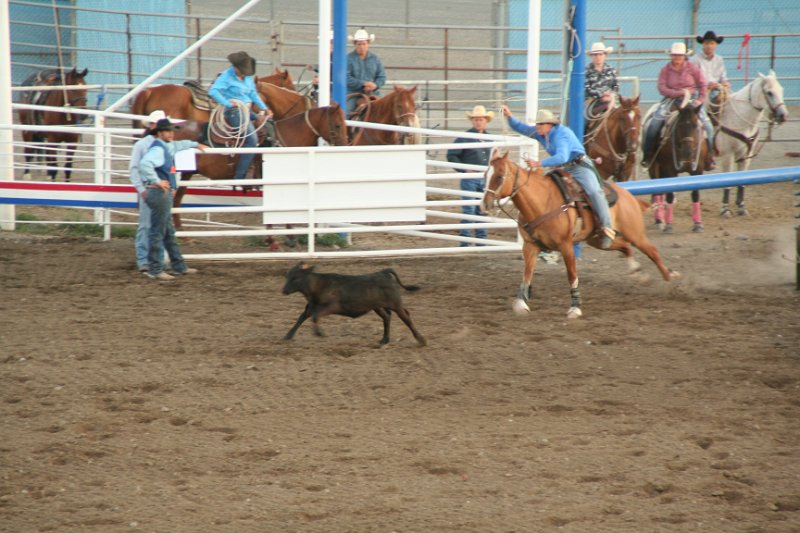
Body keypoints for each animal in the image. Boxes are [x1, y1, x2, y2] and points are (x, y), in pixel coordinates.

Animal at [281, 263, 427, 346]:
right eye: (287, 276)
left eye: (296, 277)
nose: (284, 290)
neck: (318, 286)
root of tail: (383, 272)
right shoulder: (310, 307)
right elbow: (301, 318)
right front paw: (288, 335)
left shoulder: (331, 307)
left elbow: (315, 317)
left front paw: (319, 333)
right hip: (377, 306)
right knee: (387, 317)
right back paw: (384, 340)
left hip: (395, 304)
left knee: (406, 318)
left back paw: (421, 340)